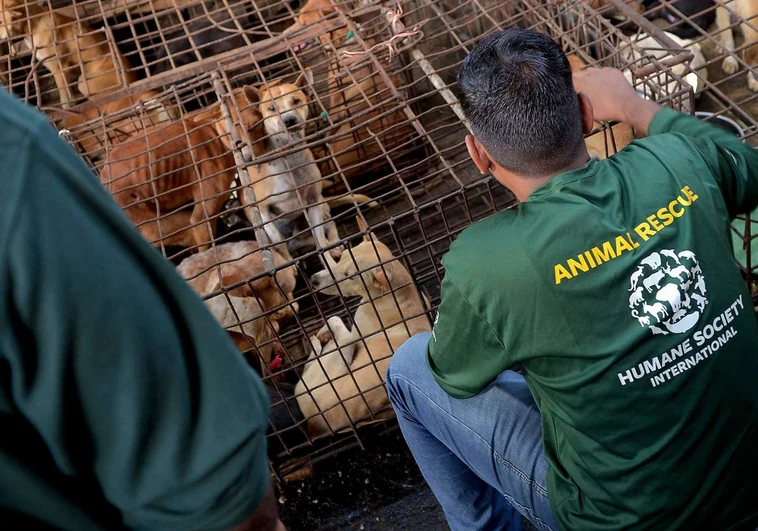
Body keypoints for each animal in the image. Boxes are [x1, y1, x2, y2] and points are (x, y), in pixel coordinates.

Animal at [298, 218, 434, 438]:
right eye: (343, 255)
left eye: (350, 276)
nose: (314, 280)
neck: (396, 294)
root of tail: (314, 423)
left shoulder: (354, 331)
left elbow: (334, 319)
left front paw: (323, 333)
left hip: (332, 359)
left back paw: (317, 342)